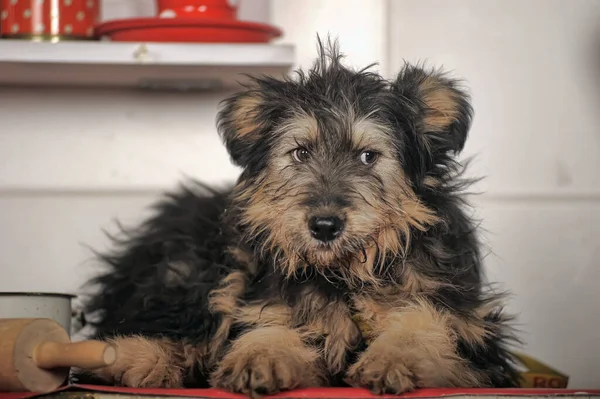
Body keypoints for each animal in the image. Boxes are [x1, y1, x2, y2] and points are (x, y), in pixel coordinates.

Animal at [78, 39, 520, 396]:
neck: (343, 274)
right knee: (168, 325)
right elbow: (270, 326)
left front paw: (395, 358)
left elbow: (426, 323)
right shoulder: (269, 302)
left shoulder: (472, 331)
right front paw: (260, 356)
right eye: (301, 152)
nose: (324, 226)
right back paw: (127, 358)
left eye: (368, 156)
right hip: (195, 269)